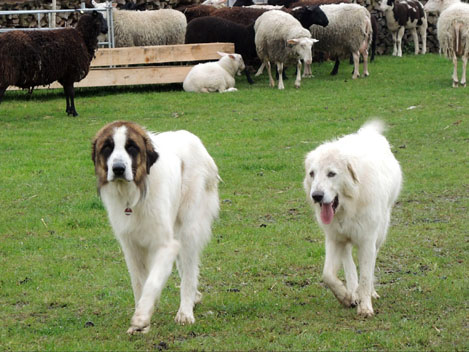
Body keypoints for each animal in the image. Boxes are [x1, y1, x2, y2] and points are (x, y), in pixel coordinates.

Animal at [91, 122, 219, 334]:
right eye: (107, 148)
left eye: (131, 147)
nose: (118, 168)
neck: (133, 195)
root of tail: (193, 138)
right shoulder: (131, 247)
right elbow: (139, 284)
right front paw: (142, 321)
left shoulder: (165, 244)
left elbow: (152, 281)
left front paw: (141, 318)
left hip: (188, 226)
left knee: (189, 270)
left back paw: (185, 312)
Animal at [304, 121, 402, 316]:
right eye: (312, 173)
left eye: (331, 174)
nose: (316, 196)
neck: (348, 205)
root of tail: (367, 133)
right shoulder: (334, 239)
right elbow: (328, 275)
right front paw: (346, 297)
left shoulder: (367, 240)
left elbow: (365, 275)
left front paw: (365, 307)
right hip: (345, 240)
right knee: (348, 263)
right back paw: (352, 292)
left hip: (379, 233)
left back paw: (369, 292)